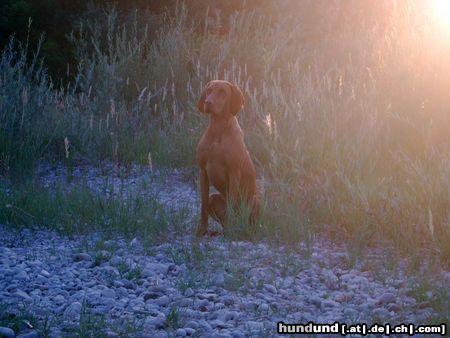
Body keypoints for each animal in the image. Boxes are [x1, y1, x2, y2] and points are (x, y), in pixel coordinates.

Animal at [194, 80, 258, 236]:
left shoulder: (234, 173)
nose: (208, 102)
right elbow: (203, 206)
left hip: (253, 199)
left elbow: (231, 206)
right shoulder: (203, 172)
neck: (218, 129)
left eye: (222, 92)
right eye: (209, 91)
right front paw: (202, 230)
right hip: (214, 198)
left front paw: (230, 232)